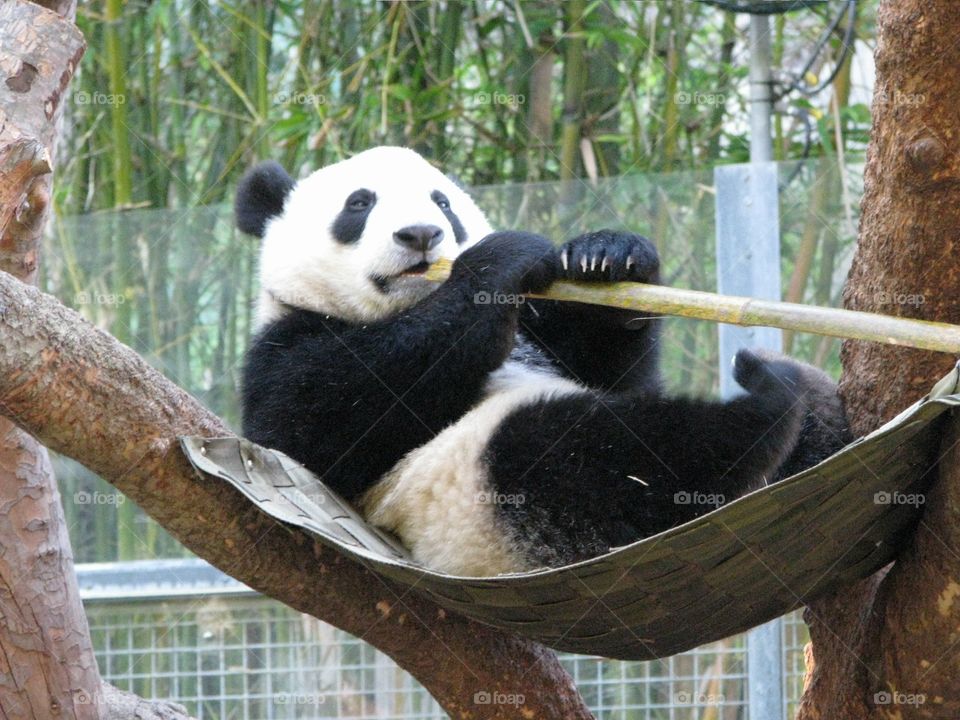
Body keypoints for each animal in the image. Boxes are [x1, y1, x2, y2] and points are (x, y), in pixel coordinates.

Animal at [234, 145, 848, 572]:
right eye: (359, 204)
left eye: (443, 203)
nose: (422, 235)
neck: (405, 305)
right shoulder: (284, 343)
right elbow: (317, 419)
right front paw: (500, 258)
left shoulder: (541, 332)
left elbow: (616, 370)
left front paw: (609, 256)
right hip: (478, 493)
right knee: (600, 454)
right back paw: (769, 398)